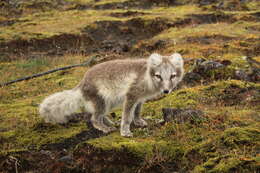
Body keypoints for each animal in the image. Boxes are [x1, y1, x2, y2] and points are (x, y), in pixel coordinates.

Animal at [39, 52, 184, 137]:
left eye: (172, 76)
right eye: (158, 76)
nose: (166, 91)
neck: (146, 77)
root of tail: (82, 82)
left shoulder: (139, 99)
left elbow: (137, 112)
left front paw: (139, 121)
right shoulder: (131, 96)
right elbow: (127, 116)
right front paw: (125, 132)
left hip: (108, 103)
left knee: (99, 115)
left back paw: (110, 123)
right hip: (101, 102)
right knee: (94, 118)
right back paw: (105, 128)